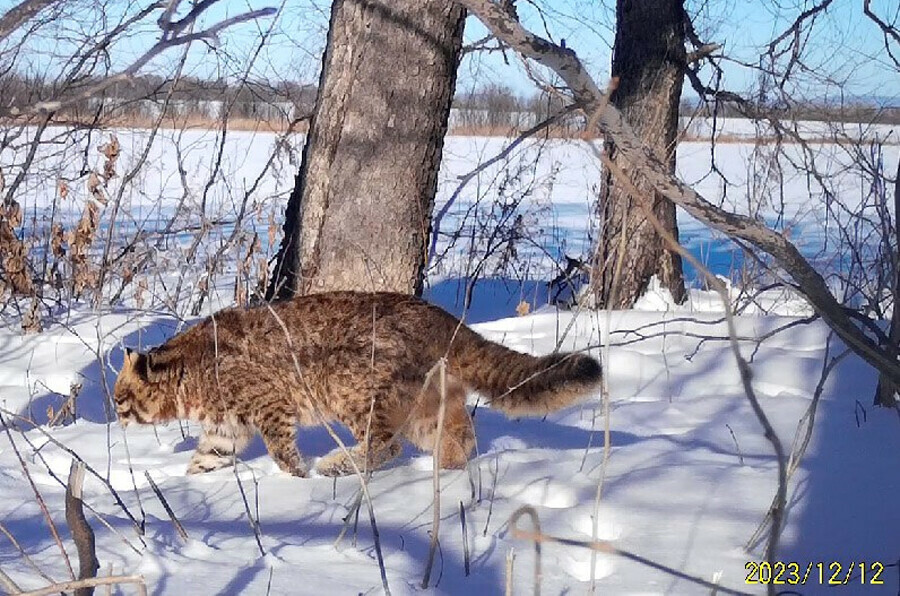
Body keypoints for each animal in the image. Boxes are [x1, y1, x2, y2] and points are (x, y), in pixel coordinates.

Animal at [114, 292, 604, 478]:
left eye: (120, 398)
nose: (116, 419)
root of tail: (443, 316)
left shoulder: (270, 407)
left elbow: (281, 450)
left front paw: (298, 477)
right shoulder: (225, 429)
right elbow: (206, 459)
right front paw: (187, 486)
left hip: (351, 389)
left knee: (387, 445)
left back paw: (338, 464)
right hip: (427, 404)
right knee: (458, 438)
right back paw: (446, 475)